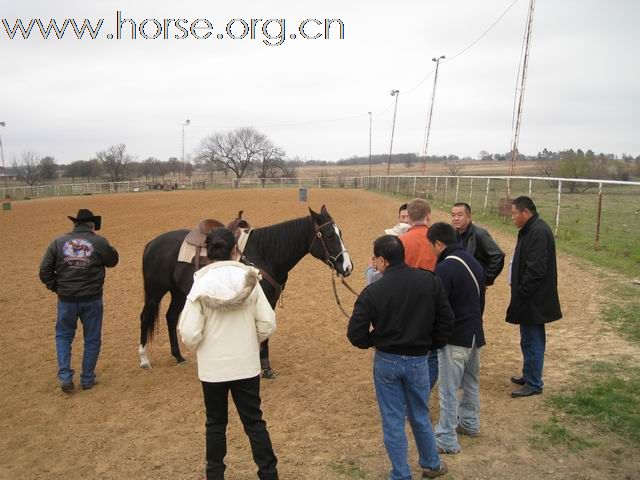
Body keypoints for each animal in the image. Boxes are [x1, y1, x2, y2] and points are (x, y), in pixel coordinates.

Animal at [137, 204, 352, 376]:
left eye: (340, 232)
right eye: (329, 235)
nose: (348, 266)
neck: (265, 253)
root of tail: (151, 244)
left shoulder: (270, 300)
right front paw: (264, 368)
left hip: (179, 292)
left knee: (171, 317)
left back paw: (178, 356)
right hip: (155, 291)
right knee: (146, 316)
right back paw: (144, 359)